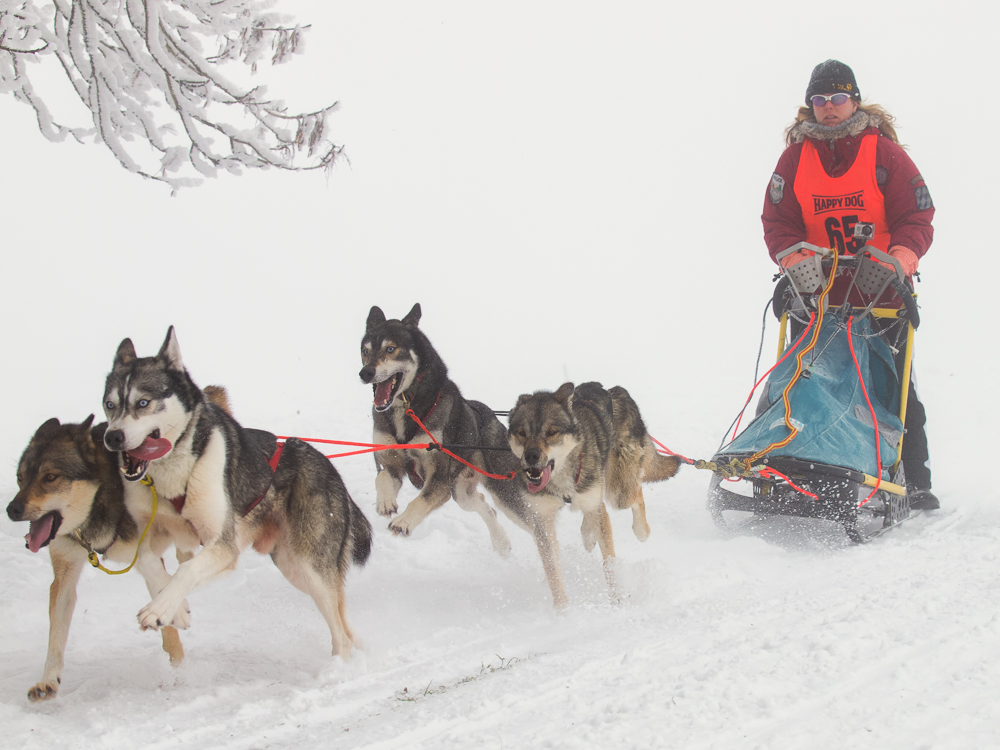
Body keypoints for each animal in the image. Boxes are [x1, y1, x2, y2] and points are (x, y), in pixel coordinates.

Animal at [7, 418, 186, 704]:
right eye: (20, 478)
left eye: (50, 477)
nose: (11, 509)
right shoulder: (65, 572)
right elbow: (56, 635)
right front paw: (48, 681)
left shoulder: (147, 554)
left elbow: (165, 609)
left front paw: (177, 672)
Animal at [103, 328, 374, 656]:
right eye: (109, 404)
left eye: (143, 403)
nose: (112, 437)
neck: (174, 476)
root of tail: (332, 471)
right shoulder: (153, 532)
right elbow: (146, 561)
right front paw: (175, 609)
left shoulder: (224, 546)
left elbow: (186, 570)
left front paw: (160, 608)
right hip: (292, 565)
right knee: (344, 625)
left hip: (310, 567)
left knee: (341, 635)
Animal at [362, 302, 532, 556]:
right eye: (365, 351)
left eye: (390, 349)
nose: (365, 373)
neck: (407, 409)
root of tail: (490, 415)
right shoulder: (390, 463)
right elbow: (382, 477)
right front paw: (385, 502)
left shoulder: (439, 479)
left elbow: (420, 500)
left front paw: (403, 522)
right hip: (461, 492)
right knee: (485, 506)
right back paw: (500, 541)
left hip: (503, 493)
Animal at [508, 384, 680, 608]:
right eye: (522, 433)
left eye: (551, 432)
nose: (531, 456)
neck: (561, 477)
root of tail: (616, 390)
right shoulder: (542, 521)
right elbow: (553, 571)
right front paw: (562, 609)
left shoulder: (595, 503)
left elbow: (609, 563)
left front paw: (617, 600)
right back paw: (589, 535)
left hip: (618, 491)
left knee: (635, 492)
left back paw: (641, 530)